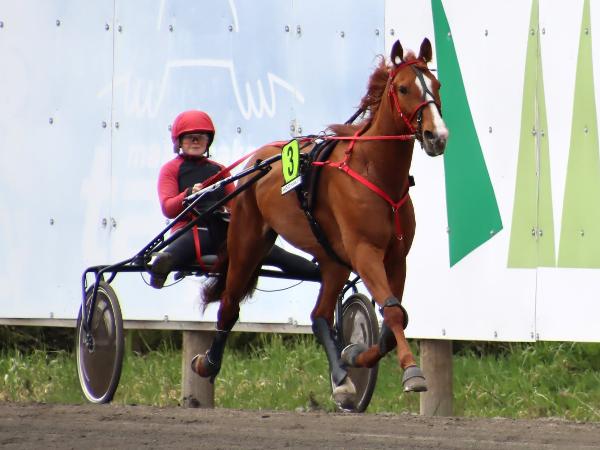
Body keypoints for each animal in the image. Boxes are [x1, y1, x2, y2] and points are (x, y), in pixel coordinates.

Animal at [193, 38, 448, 407]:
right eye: (403, 88)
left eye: (436, 85)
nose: (436, 136)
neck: (375, 172)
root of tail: (258, 159)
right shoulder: (364, 252)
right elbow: (394, 313)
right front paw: (412, 372)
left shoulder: (396, 257)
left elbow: (393, 319)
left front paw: (354, 354)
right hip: (248, 240)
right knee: (229, 304)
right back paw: (207, 363)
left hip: (333, 260)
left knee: (319, 316)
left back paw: (342, 378)